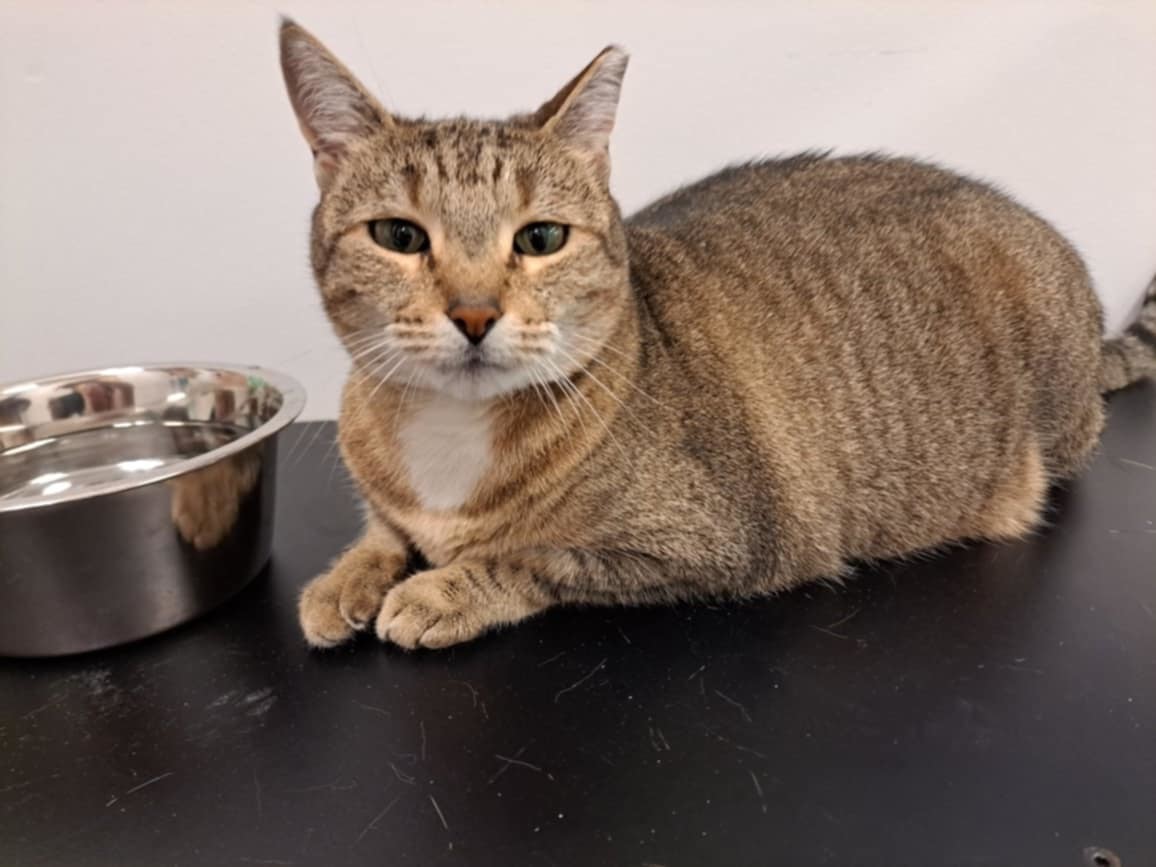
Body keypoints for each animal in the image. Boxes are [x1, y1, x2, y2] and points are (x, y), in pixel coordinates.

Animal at [279, 18, 1156, 651]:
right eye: (398, 235)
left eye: (540, 238)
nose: (472, 313)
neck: (450, 437)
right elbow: (382, 530)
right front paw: (345, 579)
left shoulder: (724, 540)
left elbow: (535, 555)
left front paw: (438, 588)